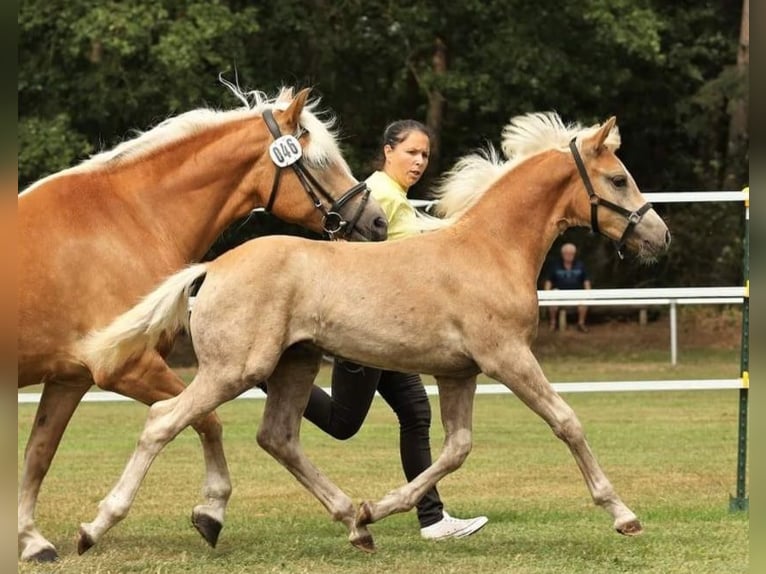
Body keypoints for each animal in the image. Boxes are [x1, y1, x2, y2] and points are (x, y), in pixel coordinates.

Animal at [18, 84, 390, 564]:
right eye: (321, 161)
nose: (377, 221)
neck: (125, 220)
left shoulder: (70, 379)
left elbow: (38, 454)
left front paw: (31, 539)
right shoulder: (127, 367)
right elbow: (205, 421)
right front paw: (211, 510)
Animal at [75, 110, 668, 556]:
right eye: (619, 179)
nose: (660, 237)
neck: (490, 249)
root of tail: (212, 268)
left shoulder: (458, 373)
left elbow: (455, 449)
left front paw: (376, 509)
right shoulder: (508, 358)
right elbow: (566, 422)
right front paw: (623, 514)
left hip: (294, 364)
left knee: (277, 436)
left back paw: (351, 522)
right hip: (234, 369)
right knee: (164, 419)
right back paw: (96, 528)